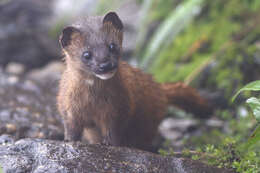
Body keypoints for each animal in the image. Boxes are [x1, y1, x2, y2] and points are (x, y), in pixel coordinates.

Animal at [56, 11, 211, 150]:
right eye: (86, 54)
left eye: (112, 46)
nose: (106, 65)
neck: (93, 101)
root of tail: (159, 88)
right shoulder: (67, 106)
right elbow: (72, 126)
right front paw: (69, 140)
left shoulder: (119, 106)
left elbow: (113, 128)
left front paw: (109, 144)